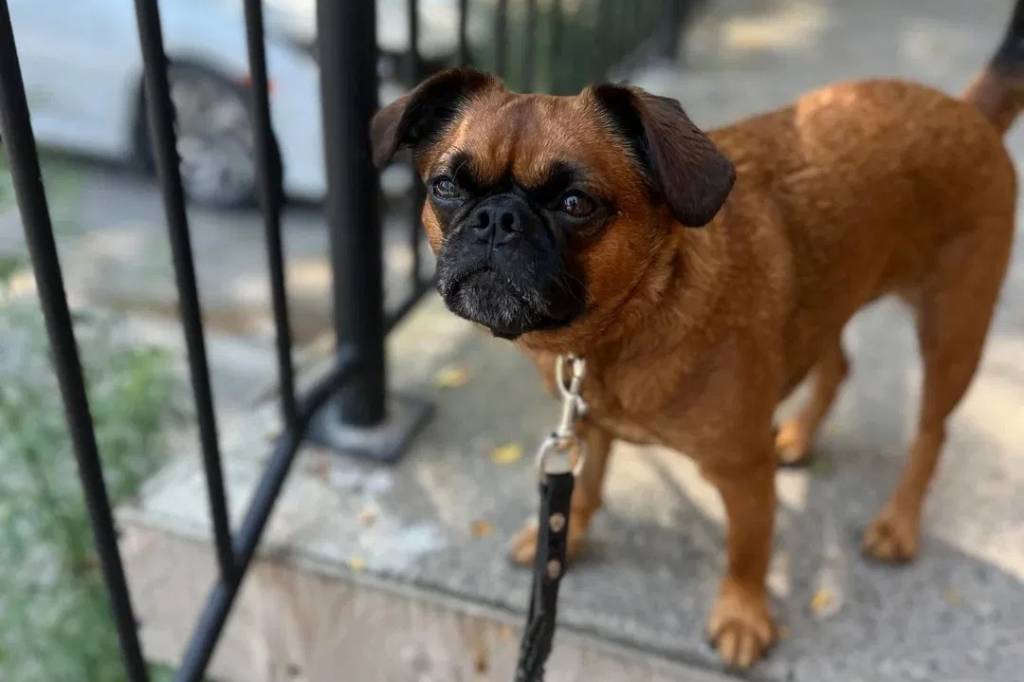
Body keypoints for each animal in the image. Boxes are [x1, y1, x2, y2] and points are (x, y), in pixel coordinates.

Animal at [371, 2, 1022, 669]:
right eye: (446, 187)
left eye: (577, 204)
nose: (496, 218)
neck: (628, 321)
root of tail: (968, 110)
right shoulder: (589, 428)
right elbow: (581, 491)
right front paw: (564, 541)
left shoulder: (742, 471)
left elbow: (748, 551)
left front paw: (742, 617)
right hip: (830, 300)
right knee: (837, 364)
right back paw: (799, 437)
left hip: (953, 331)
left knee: (931, 433)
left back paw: (897, 523)